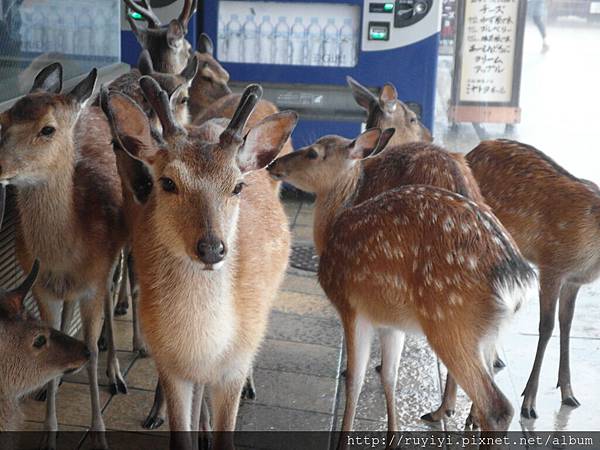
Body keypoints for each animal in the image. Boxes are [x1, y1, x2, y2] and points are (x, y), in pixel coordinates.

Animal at [0, 63, 129, 450]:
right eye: (3, 118)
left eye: (47, 128)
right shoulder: (42, 288)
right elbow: (54, 329)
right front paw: (48, 432)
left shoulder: (93, 282)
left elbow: (90, 348)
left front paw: (99, 433)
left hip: (115, 258)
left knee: (112, 296)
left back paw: (116, 373)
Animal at [101, 79, 298, 448]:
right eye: (168, 182)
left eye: (237, 186)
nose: (211, 248)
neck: (202, 343)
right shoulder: (170, 363)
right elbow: (181, 433)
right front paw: (167, 418)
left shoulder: (233, 364)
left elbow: (225, 438)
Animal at [268, 128, 536, 448]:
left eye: (313, 152)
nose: (274, 163)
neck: (333, 227)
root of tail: (517, 279)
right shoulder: (390, 322)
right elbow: (389, 376)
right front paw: (392, 436)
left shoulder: (350, 306)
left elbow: (354, 379)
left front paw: (343, 439)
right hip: (485, 330)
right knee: (492, 374)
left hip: (450, 321)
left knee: (498, 407)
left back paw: (449, 412)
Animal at [466, 140, 600, 418]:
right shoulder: (552, 265)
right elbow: (546, 326)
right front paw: (528, 402)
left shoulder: (574, 280)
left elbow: (566, 323)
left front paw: (568, 392)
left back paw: (496, 359)